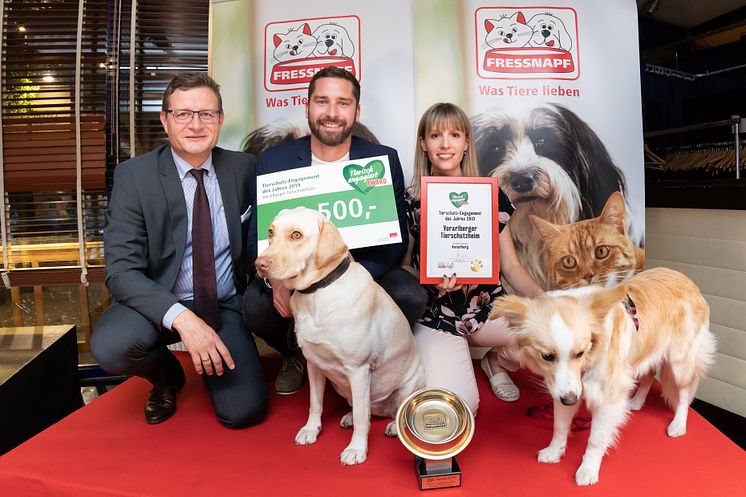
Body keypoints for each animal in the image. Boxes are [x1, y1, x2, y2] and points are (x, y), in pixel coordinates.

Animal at [254, 206, 424, 464]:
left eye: (296, 235)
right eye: (271, 232)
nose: (258, 264)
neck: (317, 292)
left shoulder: (358, 369)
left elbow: (363, 421)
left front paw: (356, 449)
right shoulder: (314, 364)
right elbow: (315, 404)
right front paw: (311, 430)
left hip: (408, 384)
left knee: (391, 412)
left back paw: (394, 426)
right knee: (364, 409)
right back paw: (351, 416)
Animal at [488, 268, 716, 484]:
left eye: (580, 353)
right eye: (547, 356)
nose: (570, 400)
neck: (591, 356)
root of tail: (687, 280)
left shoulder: (605, 399)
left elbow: (595, 440)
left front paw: (588, 469)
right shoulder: (564, 390)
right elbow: (559, 426)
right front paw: (554, 451)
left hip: (680, 363)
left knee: (685, 393)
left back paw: (678, 424)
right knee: (650, 375)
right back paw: (636, 402)